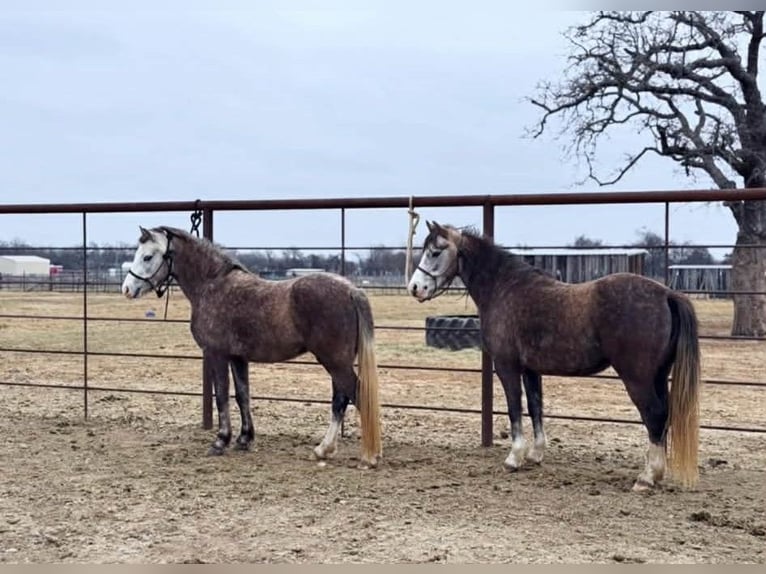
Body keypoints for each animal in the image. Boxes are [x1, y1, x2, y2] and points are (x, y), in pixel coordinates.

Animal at [121, 226, 382, 467]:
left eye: (148, 257)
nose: (127, 289)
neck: (212, 285)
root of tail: (351, 290)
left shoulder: (216, 354)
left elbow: (222, 396)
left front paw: (221, 441)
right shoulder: (238, 357)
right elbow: (242, 395)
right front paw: (244, 439)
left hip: (335, 362)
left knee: (356, 396)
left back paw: (370, 456)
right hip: (337, 362)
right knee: (340, 401)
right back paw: (323, 450)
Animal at [408, 221, 700, 490]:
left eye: (435, 252)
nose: (414, 288)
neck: (504, 289)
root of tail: (667, 294)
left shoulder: (507, 366)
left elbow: (515, 408)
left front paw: (514, 458)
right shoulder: (531, 370)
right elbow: (535, 406)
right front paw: (535, 455)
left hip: (637, 378)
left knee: (654, 415)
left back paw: (646, 478)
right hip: (658, 376)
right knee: (664, 416)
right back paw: (655, 473)